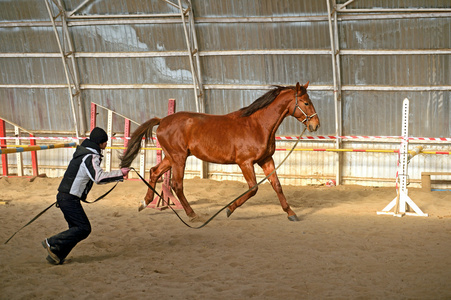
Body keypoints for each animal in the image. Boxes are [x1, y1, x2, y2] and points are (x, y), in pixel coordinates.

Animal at [121, 82, 322, 220]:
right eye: (306, 102)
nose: (315, 125)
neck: (257, 125)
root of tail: (162, 120)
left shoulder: (266, 160)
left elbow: (277, 185)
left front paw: (291, 213)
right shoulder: (245, 163)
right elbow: (253, 188)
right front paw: (229, 209)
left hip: (171, 158)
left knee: (154, 172)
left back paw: (144, 203)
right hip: (178, 158)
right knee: (177, 184)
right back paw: (192, 214)